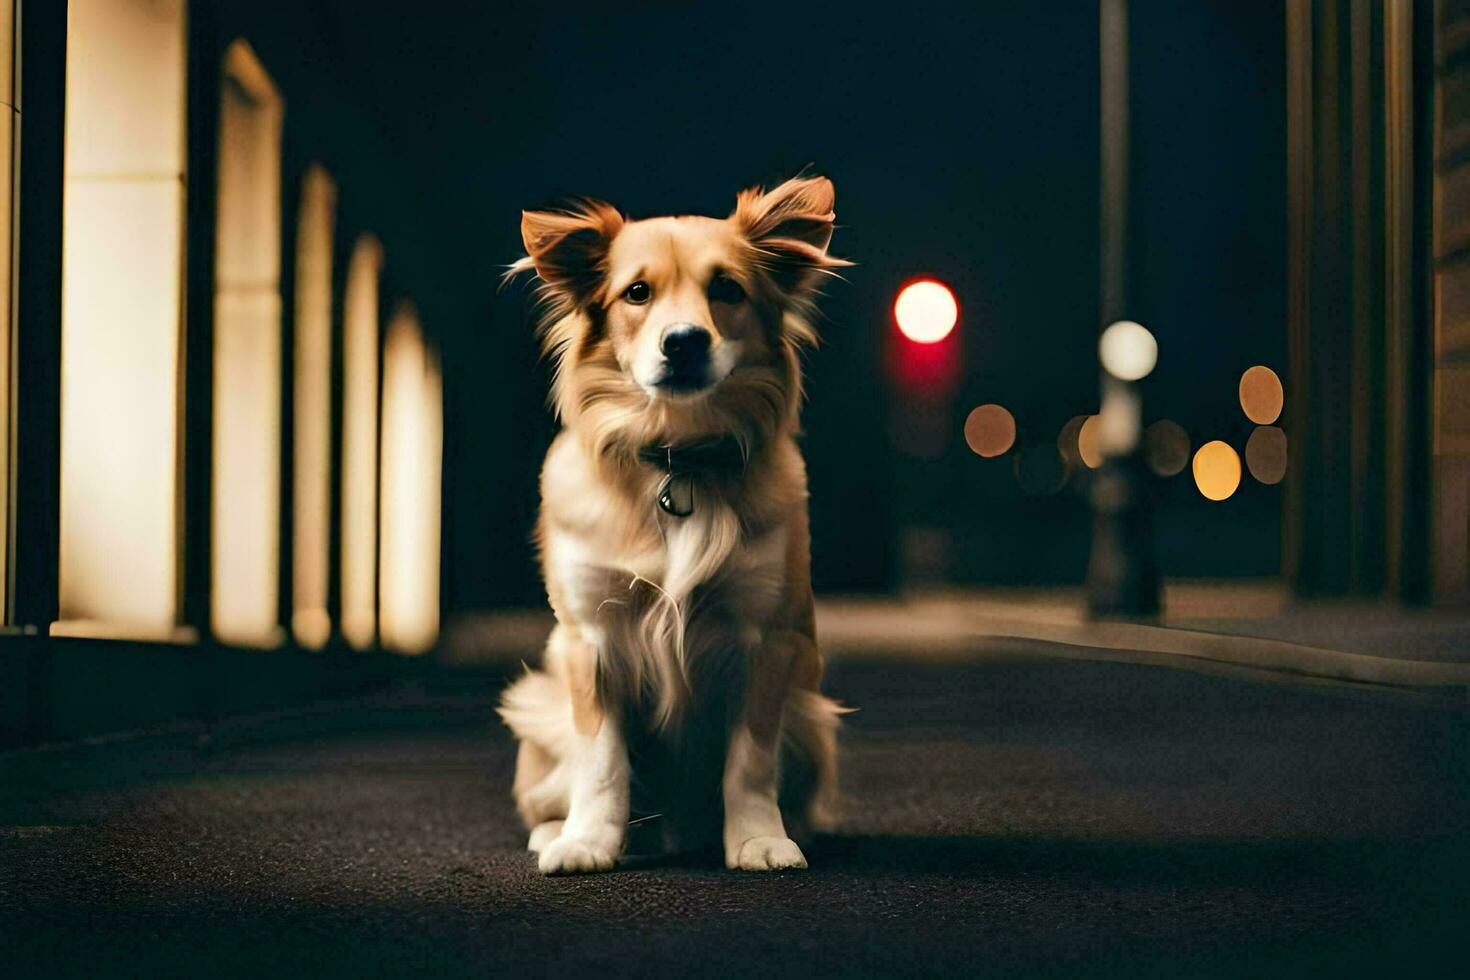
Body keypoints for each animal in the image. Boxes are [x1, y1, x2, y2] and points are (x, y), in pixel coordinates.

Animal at [502, 174, 858, 875]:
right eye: (637, 292)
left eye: (728, 289)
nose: (684, 341)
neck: (678, 458)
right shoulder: (590, 641)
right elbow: (601, 759)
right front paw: (587, 841)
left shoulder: (766, 641)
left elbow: (750, 762)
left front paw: (757, 838)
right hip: (538, 712)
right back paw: (558, 830)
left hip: (813, 720)